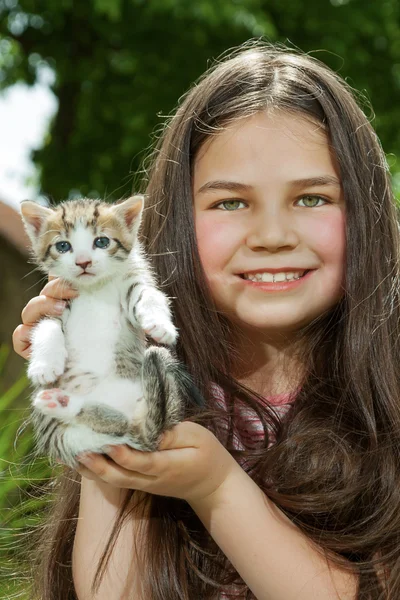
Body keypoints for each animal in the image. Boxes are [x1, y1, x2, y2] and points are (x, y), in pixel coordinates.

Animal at [19, 197, 200, 468]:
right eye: (63, 246)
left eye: (102, 242)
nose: (83, 262)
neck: (94, 287)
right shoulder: (54, 302)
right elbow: (46, 327)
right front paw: (44, 366)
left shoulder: (133, 283)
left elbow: (150, 296)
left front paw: (160, 324)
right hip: (75, 438)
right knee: (114, 426)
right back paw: (60, 402)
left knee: (121, 425)